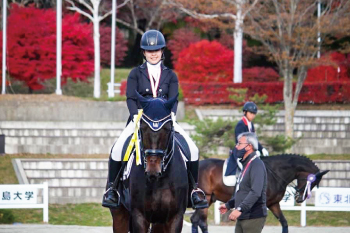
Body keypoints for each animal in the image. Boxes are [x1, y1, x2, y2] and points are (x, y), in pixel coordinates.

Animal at [111, 93, 189, 233]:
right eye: (142, 128)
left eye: (167, 128)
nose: (153, 169)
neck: (160, 181)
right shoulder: (139, 216)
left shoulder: (175, 217)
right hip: (120, 214)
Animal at [190, 155, 330, 233]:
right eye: (311, 182)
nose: (300, 199)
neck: (275, 172)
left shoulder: (273, 204)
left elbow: (284, 222)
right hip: (206, 198)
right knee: (201, 222)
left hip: (207, 200)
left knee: (195, 220)